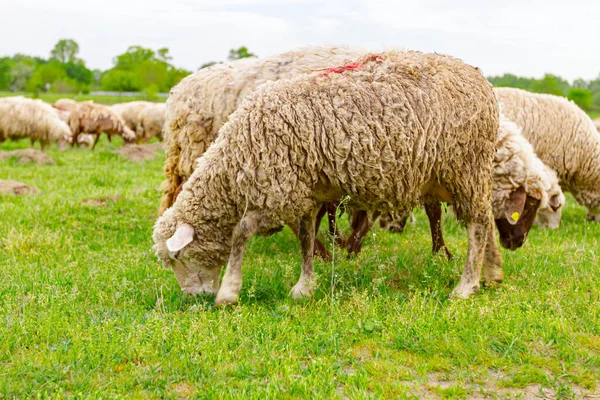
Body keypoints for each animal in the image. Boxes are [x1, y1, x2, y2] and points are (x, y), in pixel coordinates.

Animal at [154, 50, 502, 306]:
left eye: (178, 257)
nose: (193, 297)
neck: (236, 159)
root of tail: (480, 79)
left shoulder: (277, 191)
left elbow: (240, 233)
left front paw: (229, 291)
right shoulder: (306, 192)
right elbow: (305, 238)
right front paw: (304, 286)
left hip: (465, 166)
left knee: (478, 225)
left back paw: (466, 285)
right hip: (457, 175)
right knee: (486, 221)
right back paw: (493, 273)